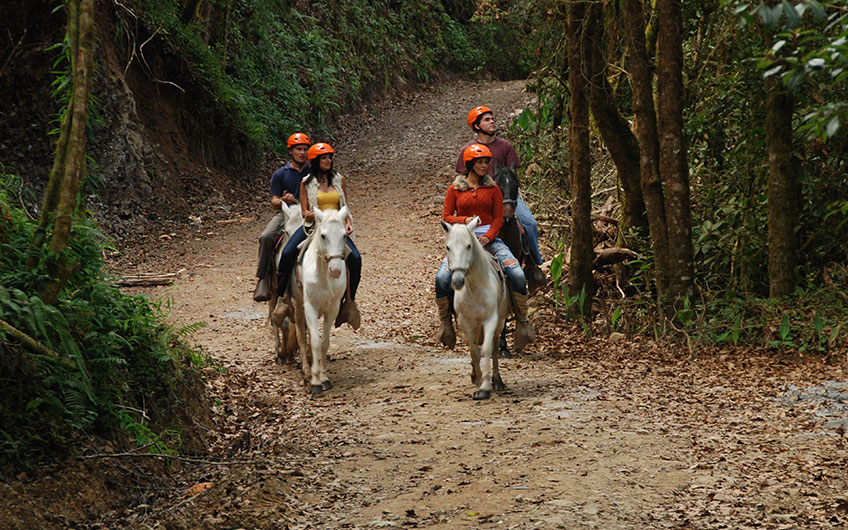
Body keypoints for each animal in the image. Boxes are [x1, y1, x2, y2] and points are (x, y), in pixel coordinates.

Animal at [288, 205, 348, 392]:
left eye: (344, 235)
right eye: (323, 235)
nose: (336, 270)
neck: (323, 278)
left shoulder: (333, 308)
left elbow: (324, 342)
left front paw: (324, 377)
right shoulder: (310, 307)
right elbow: (314, 341)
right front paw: (315, 381)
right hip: (298, 306)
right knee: (301, 335)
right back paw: (306, 370)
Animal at [440, 214, 506, 396]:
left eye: (468, 246)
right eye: (448, 247)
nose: (457, 281)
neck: (474, 289)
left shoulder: (491, 320)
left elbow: (487, 349)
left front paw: (485, 387)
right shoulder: (465, 322)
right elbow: (474, 352)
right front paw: (478, 381)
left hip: (500, 322)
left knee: (495, 346)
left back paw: (497, 380)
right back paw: (476, 375)